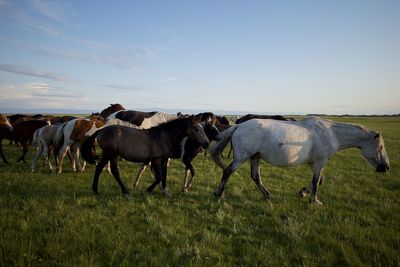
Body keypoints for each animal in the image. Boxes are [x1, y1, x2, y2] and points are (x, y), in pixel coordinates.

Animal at [81, 116, 211, 196]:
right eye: (196, 128)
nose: (206, 143)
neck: (164, 136)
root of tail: (100, 131)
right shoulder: (156, 160)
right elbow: (159, 177)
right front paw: (146, 191)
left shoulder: (164, 160)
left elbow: (164, 176)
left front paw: (165, 192)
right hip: (112, 154)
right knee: (114, 171)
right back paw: (125, 191)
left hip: (107, 154)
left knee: (99, 168)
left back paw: (95, 190)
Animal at [211, 116, 390, 206]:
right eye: (381, 147)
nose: (386, 167)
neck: (331, 133)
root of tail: (238, 126)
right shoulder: (320, 162)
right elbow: (317, 181)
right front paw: (314, 201)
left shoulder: (314, 163)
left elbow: (319, 180)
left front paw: (303, 192)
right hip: (242, 157)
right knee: (227, 171)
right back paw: (219, 195)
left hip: (255, 157)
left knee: (255, 177)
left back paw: (267, 195)